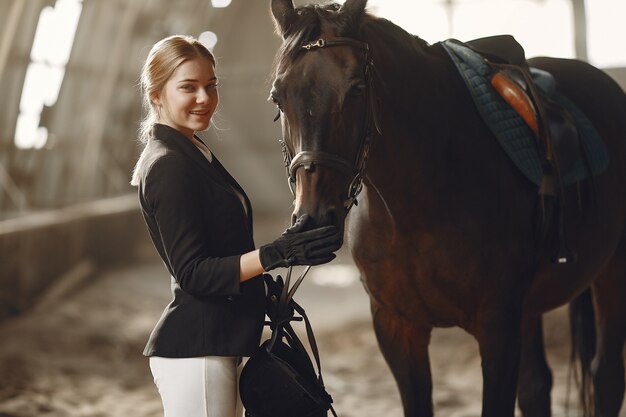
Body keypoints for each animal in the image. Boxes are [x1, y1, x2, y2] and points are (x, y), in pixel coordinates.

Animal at [266, 1, 624, 414]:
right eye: (278, 97)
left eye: (356, 89)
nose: (313, 220)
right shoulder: (397, 329)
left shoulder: (498, 328)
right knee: (537, 387)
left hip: (610, 273)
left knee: (606, 376)